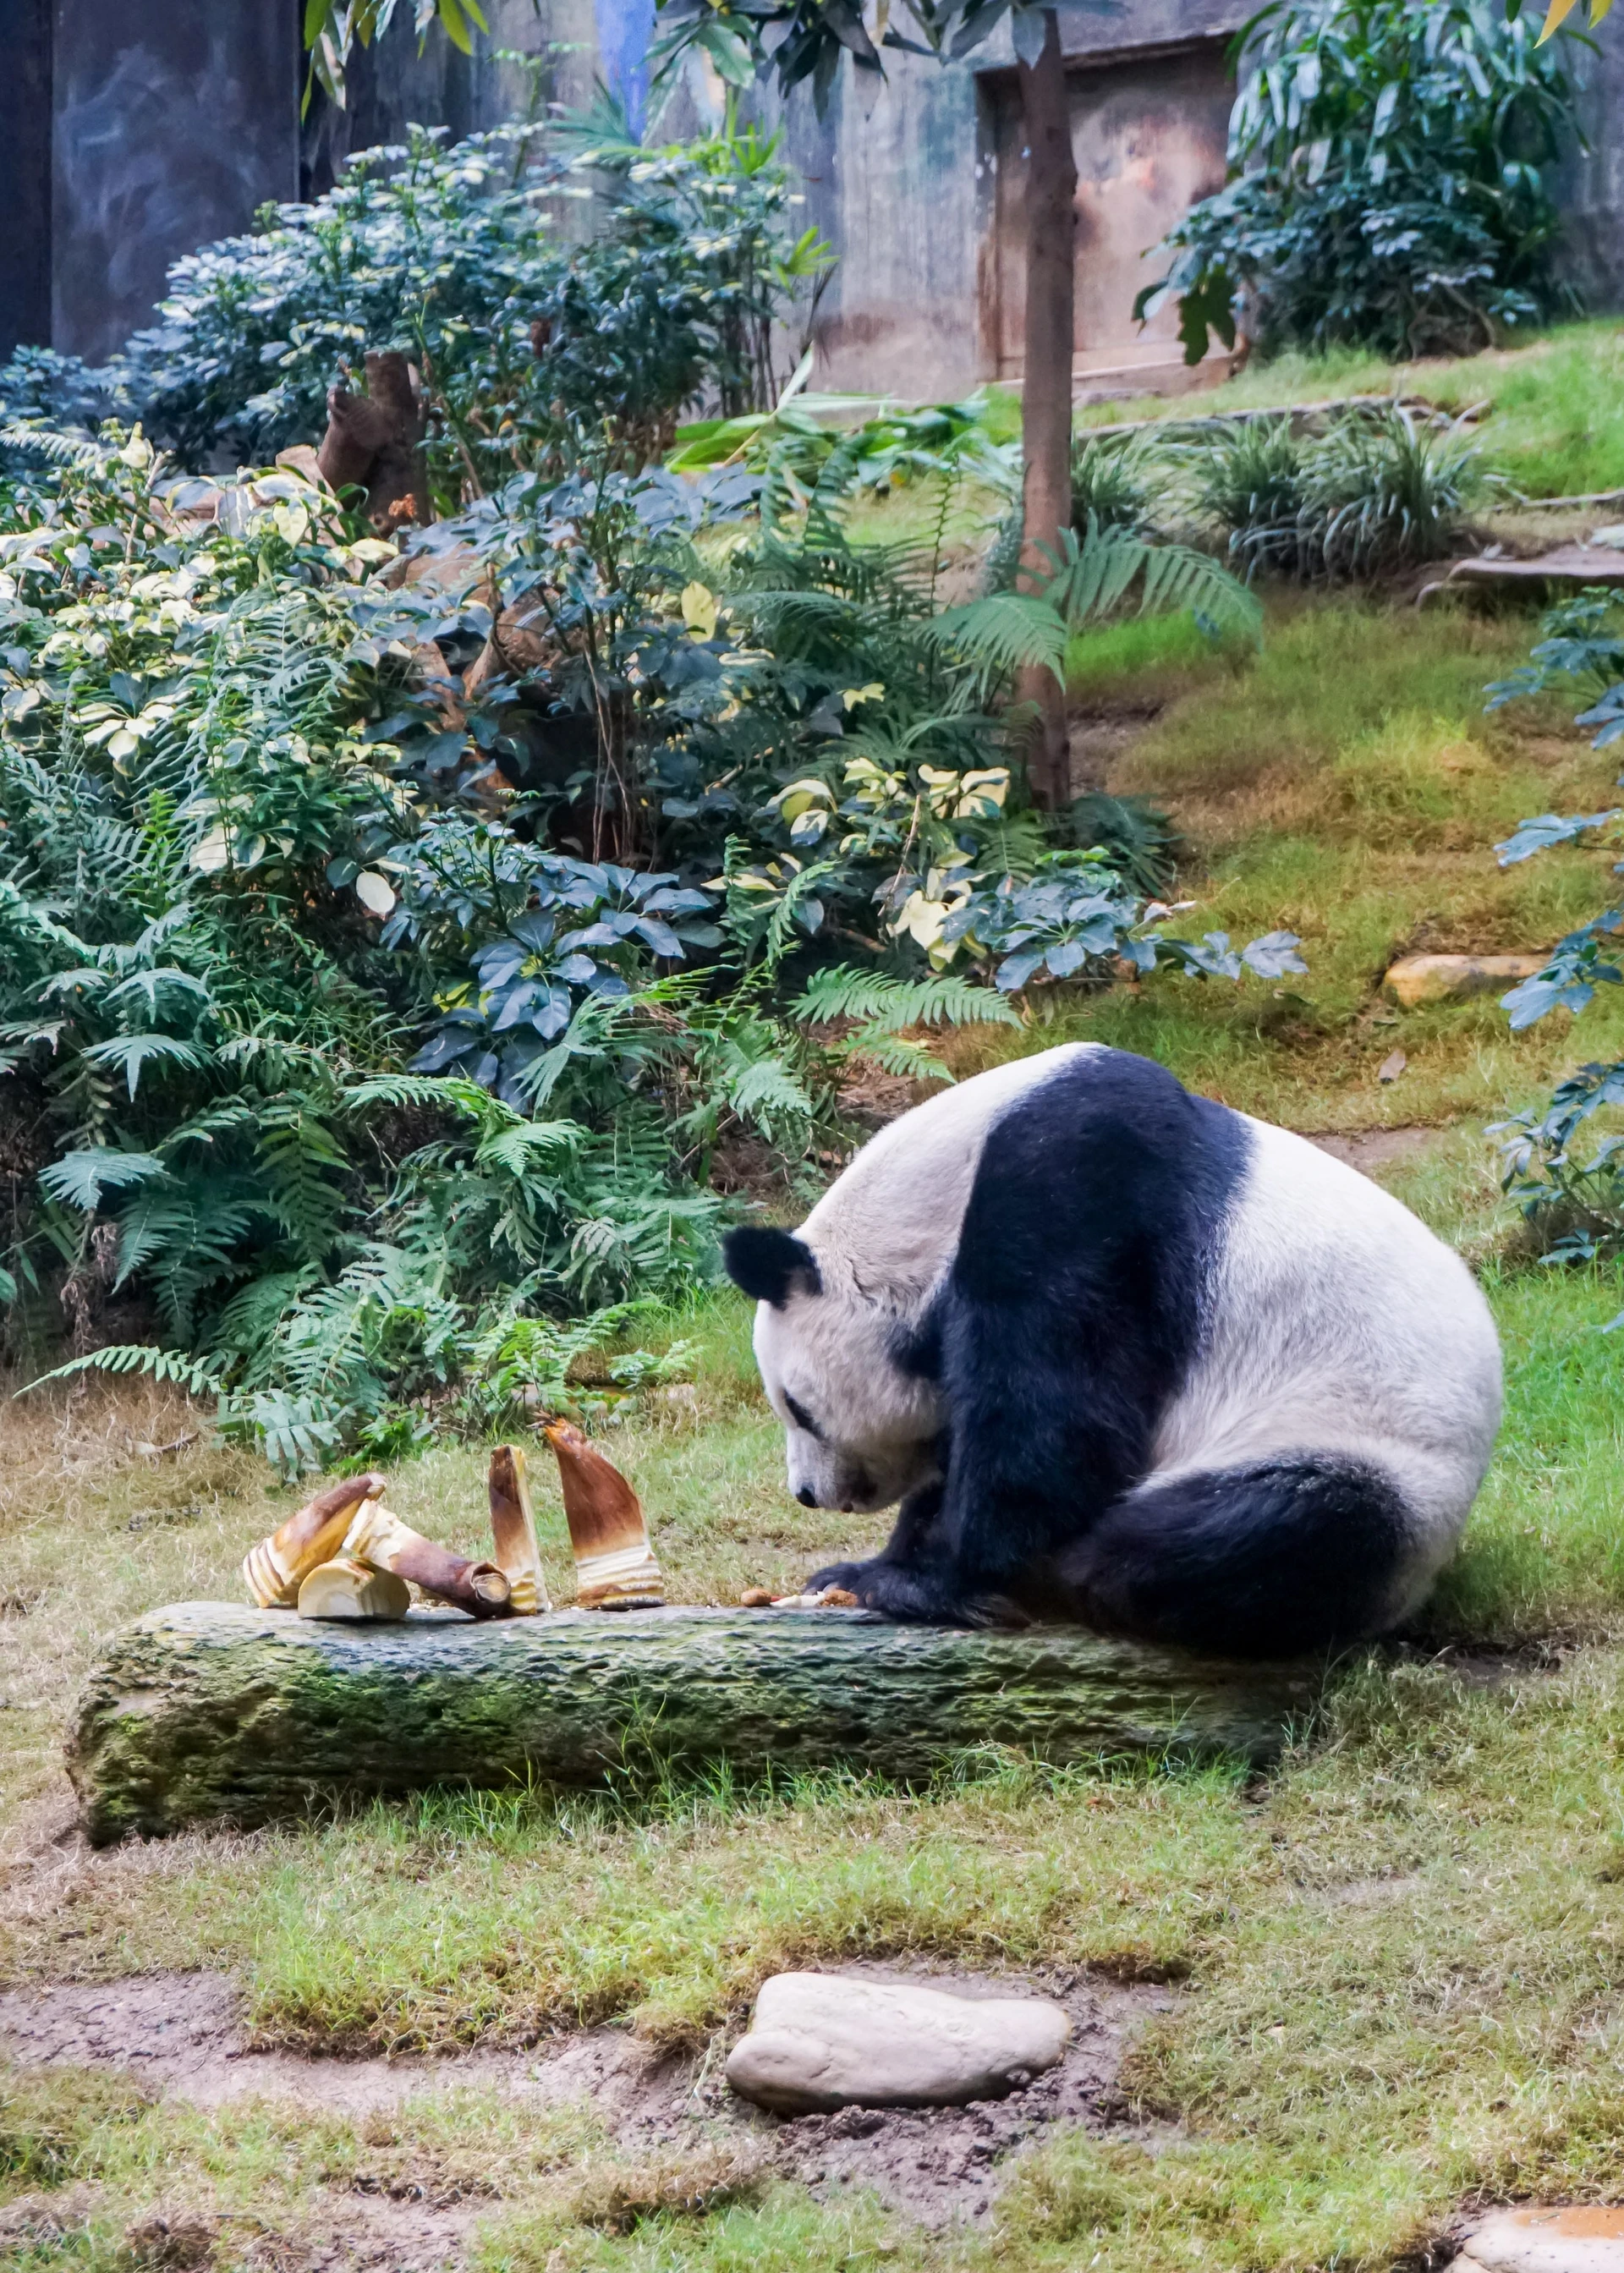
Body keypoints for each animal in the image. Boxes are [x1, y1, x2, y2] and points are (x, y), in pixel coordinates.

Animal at [722, 1043, 1502, 1658]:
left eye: (798, 1408)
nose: (809, 1493)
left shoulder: (1075, 1197)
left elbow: (1054, 1417)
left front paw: (919, 1581)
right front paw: (861, 1567)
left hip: (1366, 1453)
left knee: (1250, 1532)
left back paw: (1071, 1573)